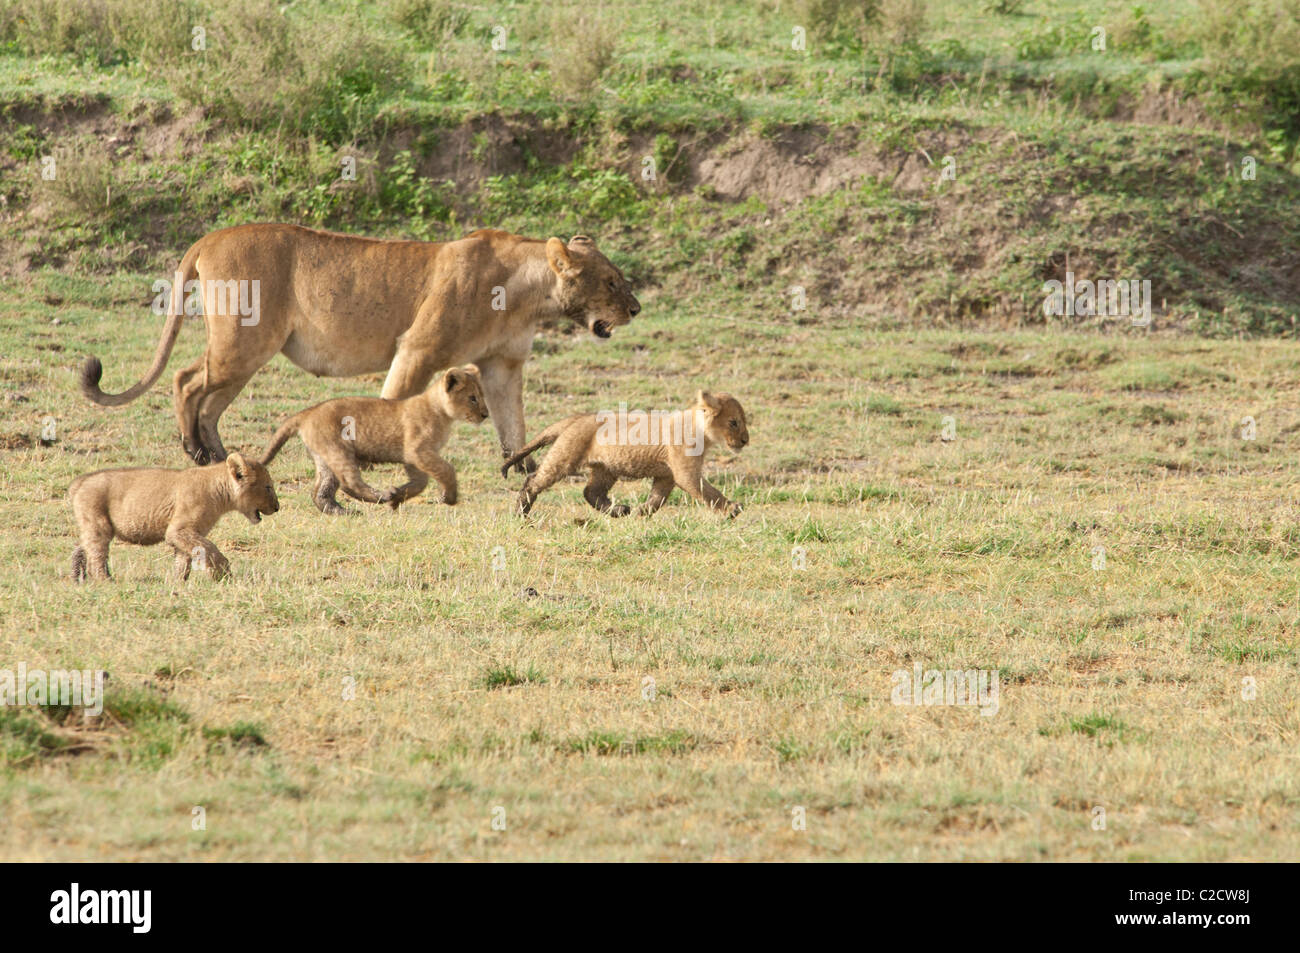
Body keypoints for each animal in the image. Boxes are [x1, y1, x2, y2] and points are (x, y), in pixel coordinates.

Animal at [68, 453, 279, 582]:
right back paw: (105, 580)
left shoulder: (187, 533)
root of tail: (80, 481)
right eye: (268, 487)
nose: (277, 507)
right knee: (96, 553)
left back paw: (78, 578)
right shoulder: (179, 529)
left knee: (81, 547)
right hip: (98, 522)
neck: (219, 491)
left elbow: (184, 558)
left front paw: (177, 582)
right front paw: (223, 574)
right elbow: (209, 549)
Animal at [78, 225, 640, 467]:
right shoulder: (417, 349)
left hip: (248, 348)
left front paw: (521, 468)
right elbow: (392, 404)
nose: (635, 309)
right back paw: (195, 453)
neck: (528, 295)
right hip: (243, 339)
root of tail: (210, 237)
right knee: (186, 381)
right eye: (612, 281)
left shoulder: (503, 365)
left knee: (208, 398)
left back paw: (217, 455)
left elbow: (513, 425)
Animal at [259, 365, 489, 513]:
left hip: (324, 456)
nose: (485, 415)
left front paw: (398, 498)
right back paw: (380, 496)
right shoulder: (418, 451)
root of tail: (306, 413)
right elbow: (447, 469)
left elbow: (421, 482)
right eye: (472, 398)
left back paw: (342, 511)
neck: (442, 413)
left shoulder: (414, 457)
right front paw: (449, 497)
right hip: (338, 450)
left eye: (482, 396)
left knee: (320, 491)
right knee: (348, 482)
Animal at [501, 391, 749, 518]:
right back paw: (521, 514)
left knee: (590, 492)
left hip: (606, 468)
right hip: (565, 457)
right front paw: (732, 509)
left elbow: (657, 499)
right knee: (533, 481)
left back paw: (619, 510)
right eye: (734, 422)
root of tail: (576, 418)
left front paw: (641, 512)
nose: (745, 440)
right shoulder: (684, 472)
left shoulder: (667, 475)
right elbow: (708, 492)